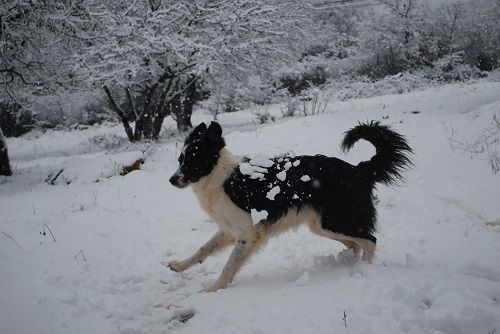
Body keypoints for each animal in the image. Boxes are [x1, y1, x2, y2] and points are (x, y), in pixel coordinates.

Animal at [168, 121, 410, 290]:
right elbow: (203, 249)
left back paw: (363, 269)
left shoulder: (247, 234)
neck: (220, 176)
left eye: (192, 160)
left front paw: (213, 289)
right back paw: (347, 261)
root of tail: (359, 169)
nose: (171, 180)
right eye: (180, 160)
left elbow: (229, 265)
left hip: (335, 220)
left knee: (370, 241)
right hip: (322, 225)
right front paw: (180, 265)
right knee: (355, 244)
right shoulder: (229, 229)